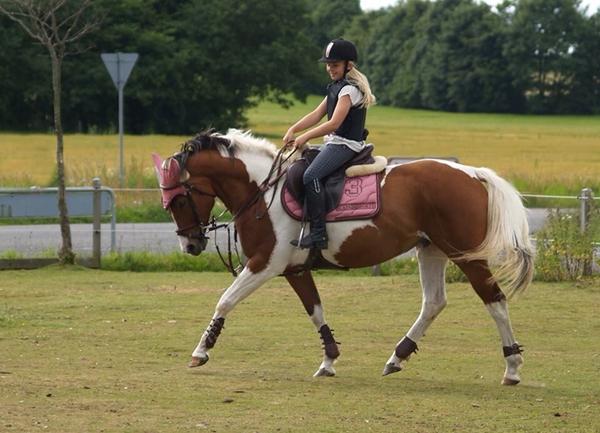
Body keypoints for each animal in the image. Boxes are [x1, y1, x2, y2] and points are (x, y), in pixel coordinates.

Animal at [151, 128, 536, 384]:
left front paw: (201, 351)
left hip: (466, 255)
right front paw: (329, 361)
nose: (190, 245)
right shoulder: (294, 270)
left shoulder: (263, 264)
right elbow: (315, 311)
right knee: (434, 302)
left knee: (495, 301)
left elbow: (225, 301)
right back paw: (397, 357)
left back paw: (512, 367)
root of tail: (473, 174)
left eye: (179, 200)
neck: (262, 191)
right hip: (431, 250)